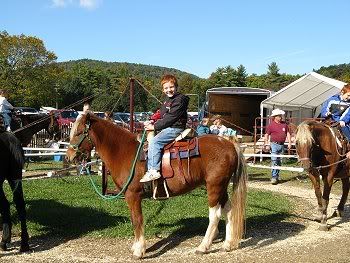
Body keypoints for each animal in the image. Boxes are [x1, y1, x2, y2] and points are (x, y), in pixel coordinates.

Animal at [65, 114, 246, 260]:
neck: (124, 152)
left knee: (215, 215)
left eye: (79, 132)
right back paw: (228, 244)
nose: (69, 156)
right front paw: (136, 246)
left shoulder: (133, 195)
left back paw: (203, 247)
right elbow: (134, 220)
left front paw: (139, 251)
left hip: (214, 186)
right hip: (222, 187)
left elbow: (137, 220)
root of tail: (229, 144)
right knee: (229, 210)